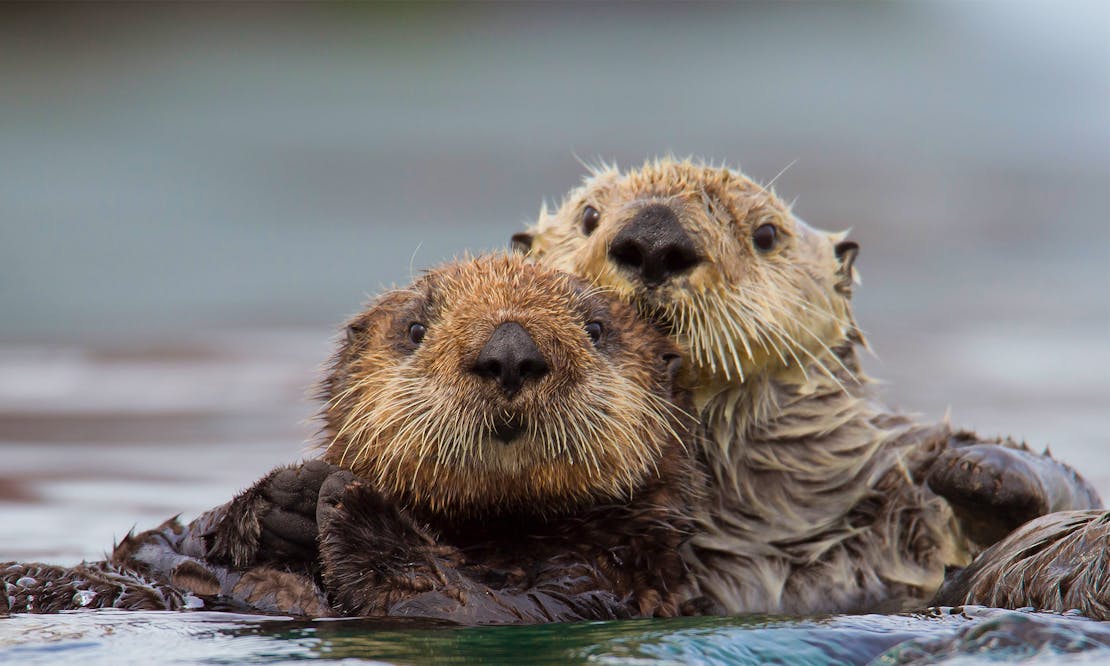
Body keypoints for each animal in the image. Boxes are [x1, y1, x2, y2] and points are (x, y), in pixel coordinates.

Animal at [3, 255, 702, 623]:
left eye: (596, 328)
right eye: (417, 328)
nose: (510, 352)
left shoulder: (604, 582)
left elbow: (472, 607)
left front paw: (352, 506)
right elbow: (156, 546)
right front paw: (277, 501)